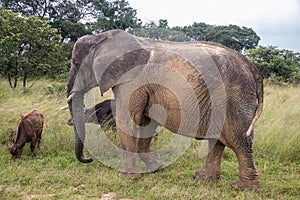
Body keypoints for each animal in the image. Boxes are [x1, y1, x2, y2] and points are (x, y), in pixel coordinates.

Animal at [67, 29, 264, 191]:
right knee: (217, 139)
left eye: (76, 63)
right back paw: (203, 179)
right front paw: (156, 168)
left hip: (234, 95)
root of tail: (253, 69)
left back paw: (243, 188)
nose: (88, 159)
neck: (103, 38)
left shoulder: (131, 81)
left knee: (240, 139)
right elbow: (145, 123)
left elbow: (127, 121)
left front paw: (126, 177)